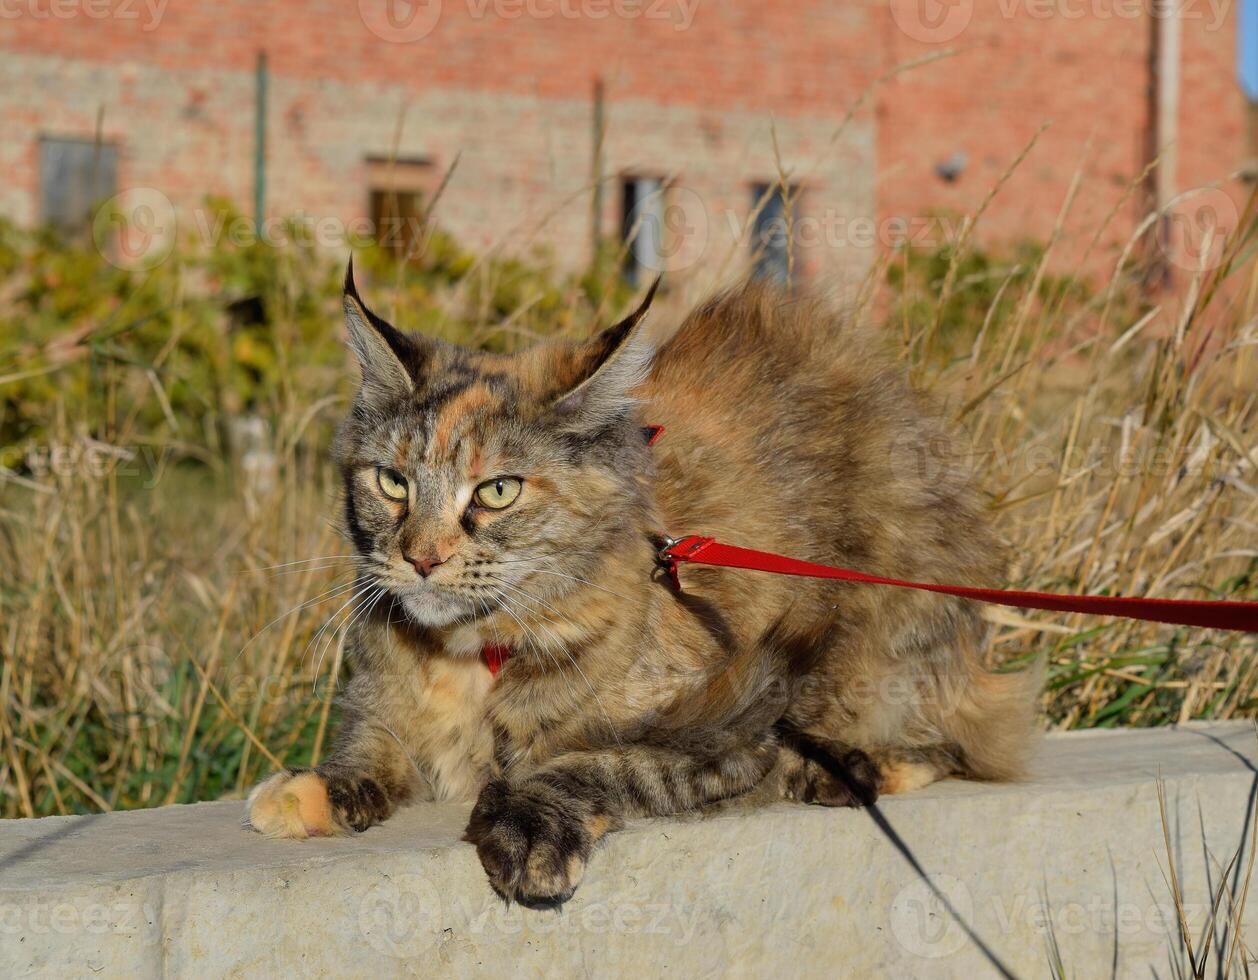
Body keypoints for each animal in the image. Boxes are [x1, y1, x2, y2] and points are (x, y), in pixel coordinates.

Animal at [242, 264, 1031, 910]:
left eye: (496, 491)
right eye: (392, 483)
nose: (422, 559)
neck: (476, 658)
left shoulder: (730, 728)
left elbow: (599, 763)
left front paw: (526, 824)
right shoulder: (387, 709)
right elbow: (371, 746)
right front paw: (313, 786)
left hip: (894, 607)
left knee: (954, 736)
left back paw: (851, 767)